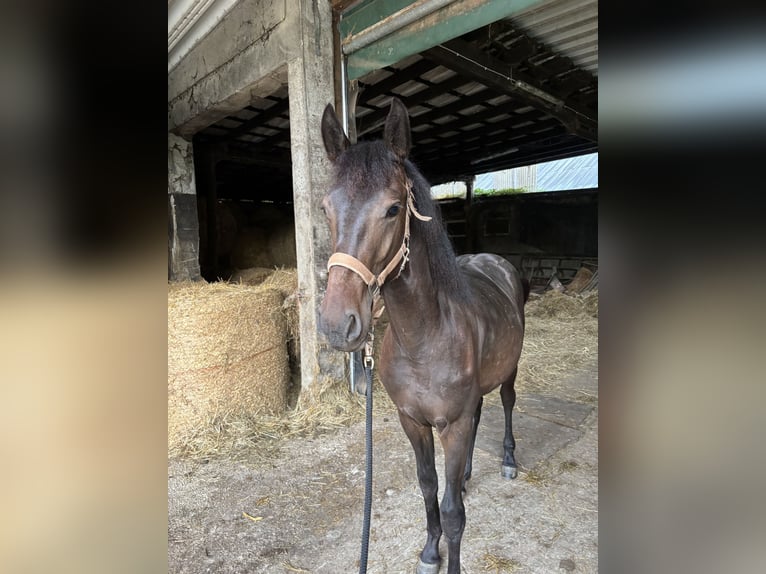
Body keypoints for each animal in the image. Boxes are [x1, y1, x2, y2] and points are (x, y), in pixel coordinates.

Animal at [318, 98, 529, 574]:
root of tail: (496, 263)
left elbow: (453, 514)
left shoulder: (452, 425)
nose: (338, 324)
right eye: (325, 208)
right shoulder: (413, 421)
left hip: (509, 371)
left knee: (506, 404)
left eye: (394, 209)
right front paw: (431, 550)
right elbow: (429, 485)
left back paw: (508, 460)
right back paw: (466, 475)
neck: (424, 338)